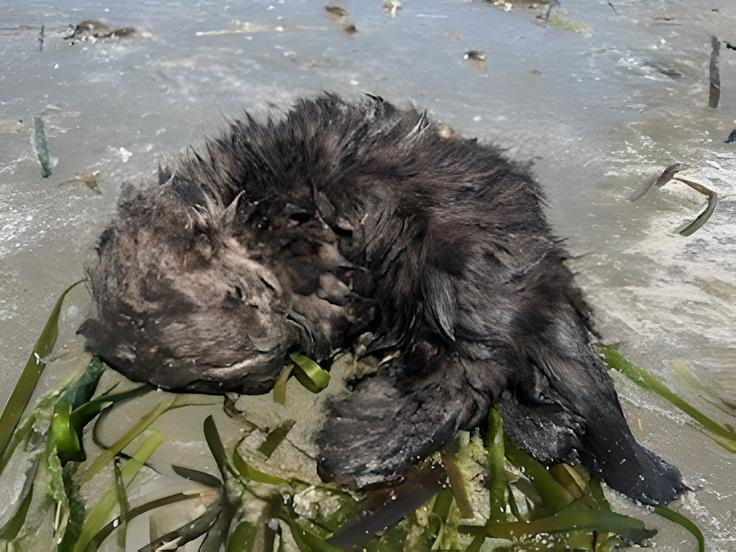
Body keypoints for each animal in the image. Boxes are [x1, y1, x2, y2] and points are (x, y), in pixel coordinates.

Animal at [80, 92, 684, 506]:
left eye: (240, 294)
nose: (265, 355)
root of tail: (543, 283)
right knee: (500, 381)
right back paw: (544, 430)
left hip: (454, 268)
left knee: (473, 373)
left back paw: (356, 447)